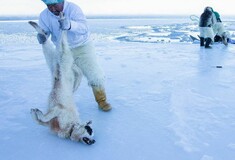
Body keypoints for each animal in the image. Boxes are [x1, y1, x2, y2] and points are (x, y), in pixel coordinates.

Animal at [29, 13, 94, 144]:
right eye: (90, 130)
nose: (93, 141)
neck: (71, 127)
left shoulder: (50, 122)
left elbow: (39, 121)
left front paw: (34, 113)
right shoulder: (59, 109)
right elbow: (45, 116)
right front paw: (37, 112)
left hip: (53, 59)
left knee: (46, 40)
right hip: (64, 54)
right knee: (62, 37)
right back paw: (63, 21)